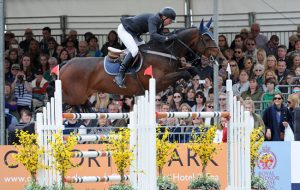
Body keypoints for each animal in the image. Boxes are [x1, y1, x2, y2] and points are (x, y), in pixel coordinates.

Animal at [58, 19, 224, 107]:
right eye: (207, 38)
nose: (221, 58)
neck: (164, 51)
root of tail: (65, 64)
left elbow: (191, 71)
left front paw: (199, 85)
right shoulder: (159, 81)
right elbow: (185, 72)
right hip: (73, 96)